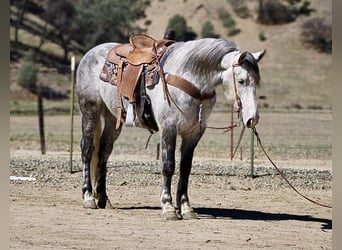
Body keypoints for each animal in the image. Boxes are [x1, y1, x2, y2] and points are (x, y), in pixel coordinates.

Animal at [76, 36, 266, 219]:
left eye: (256, 82)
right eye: (241, 81)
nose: (253, 118)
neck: (190, 79)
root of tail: (91, 53)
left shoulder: (194, 133)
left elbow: (185, 169)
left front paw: (186, 208)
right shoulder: (169, 128)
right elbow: (168, 166)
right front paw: (168, 207)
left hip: (113, 119)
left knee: (103, 152)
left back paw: (103, 199)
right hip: (90, 110)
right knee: (87, 149)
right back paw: (88, 197)